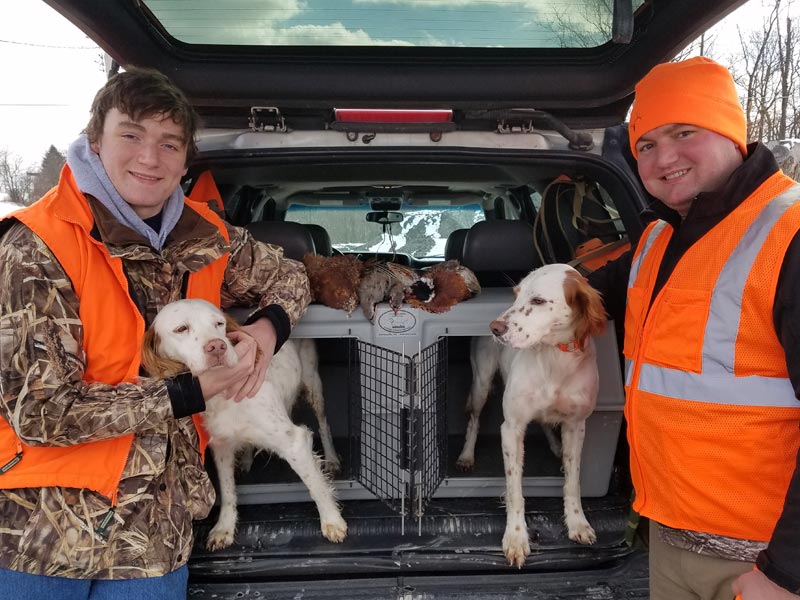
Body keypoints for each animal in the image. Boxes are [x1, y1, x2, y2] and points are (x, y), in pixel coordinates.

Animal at [141, 298, 346, 552]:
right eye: (181, 329)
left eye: (219, 323)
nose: (217, 347)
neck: (224, 395)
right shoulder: (221, 447)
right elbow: (227, 490)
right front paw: (224, 528)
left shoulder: (293, 442)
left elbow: (316, 485)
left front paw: (332, 520)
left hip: (312, 383)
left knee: (324, 424)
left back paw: (332, 459)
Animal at [454, 264, 604, 568]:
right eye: (516, 295)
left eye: (538, 301)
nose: (494, 328)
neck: (556, 358)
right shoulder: (511, 427)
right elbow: (515, 489)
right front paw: (515, 537)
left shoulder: (576, 425)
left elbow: (573, 481)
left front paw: (577, 522)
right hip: (482, 382)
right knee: (474, 420)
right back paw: (466, 455)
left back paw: (556, 446)